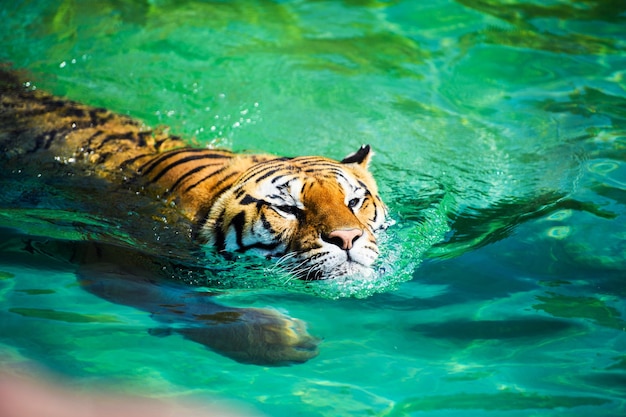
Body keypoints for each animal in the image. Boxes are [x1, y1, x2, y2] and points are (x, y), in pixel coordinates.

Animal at [0, 67, 388, 364]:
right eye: (287, 208)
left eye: (354, 202)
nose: (347, 238)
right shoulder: (113, 259)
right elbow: (195, 306)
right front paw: (281, 338)